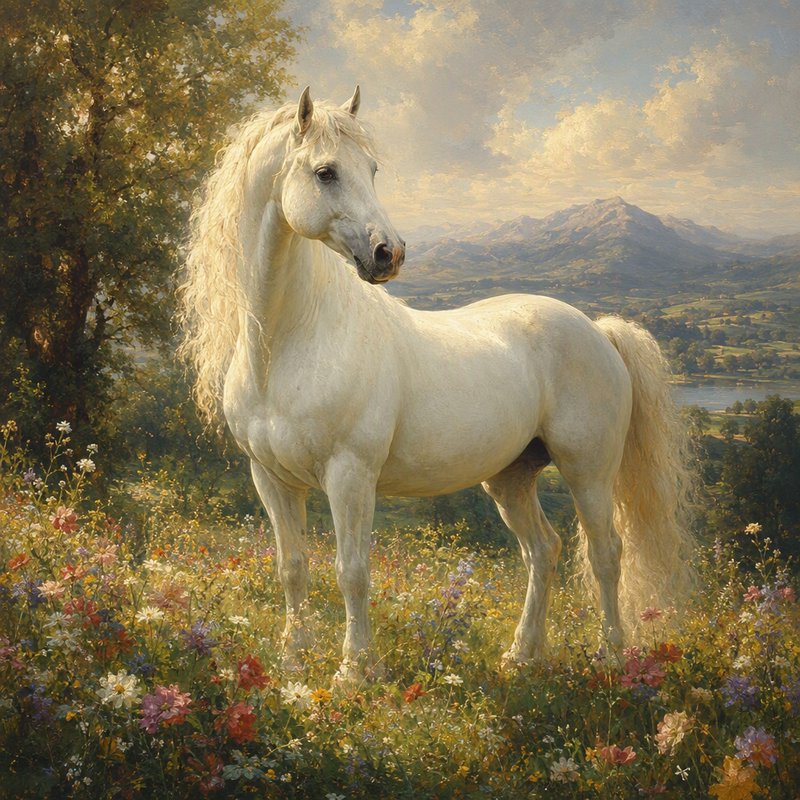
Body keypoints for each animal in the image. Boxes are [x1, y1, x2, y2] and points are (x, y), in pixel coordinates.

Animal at [179, 86, 694, 684]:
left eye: (373, 169)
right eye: (326, 172)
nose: (389, 253)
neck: (288, 343)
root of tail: (598, 330)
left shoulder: (349, 475)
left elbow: (351, 570)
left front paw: (355, 670)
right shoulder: (271, 478)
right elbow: (293, 567)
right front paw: (293, 659)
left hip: (588, 471)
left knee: (605, 553)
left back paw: (612, 656)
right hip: (511, 478)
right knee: (543, 550)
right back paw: (522, 655)